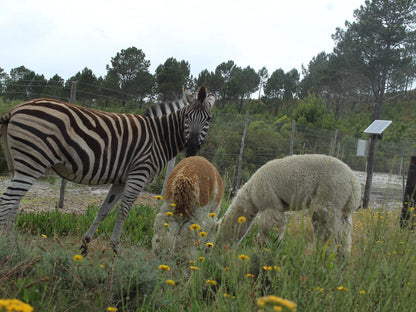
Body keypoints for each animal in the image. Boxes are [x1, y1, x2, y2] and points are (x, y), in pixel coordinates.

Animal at [0, 84, 214, 255]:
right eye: (187, 116)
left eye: (209, 119)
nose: (192, 148)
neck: (159, 137)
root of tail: (15, 109)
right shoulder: (138, 174)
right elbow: (123, 211)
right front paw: (115, 249)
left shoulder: (121, 179)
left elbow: (103, 210)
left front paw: (84, 245)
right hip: (32, 163)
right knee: (7, 203)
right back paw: (7, 250)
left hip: (19, 165)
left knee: (14, 205)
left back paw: (12, 246)